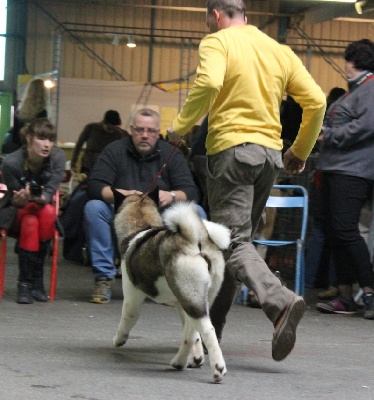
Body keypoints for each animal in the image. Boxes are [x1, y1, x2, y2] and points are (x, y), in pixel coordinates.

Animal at [110, 189, 231, 382]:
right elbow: (191, 334)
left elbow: (127, 320)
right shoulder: (181, 305)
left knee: (207, 330)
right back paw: (180, 362)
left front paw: (118, 340)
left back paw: (217, 369)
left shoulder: (131, 299)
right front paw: (196, 358)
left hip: (191, 299)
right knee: (192, 332)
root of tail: (195, 240)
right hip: (194, 299)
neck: (140, 228)